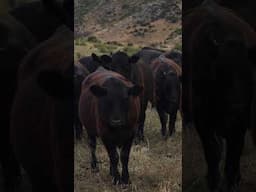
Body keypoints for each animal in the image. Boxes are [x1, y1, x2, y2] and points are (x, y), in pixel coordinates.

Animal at [184, 0, 256, 191]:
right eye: (221, 71)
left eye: (249, 73)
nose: (238, 105)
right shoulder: (202, 120)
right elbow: (213, 153)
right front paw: (213, 181)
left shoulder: (240, 124)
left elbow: (233, 156)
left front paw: (232, 181)